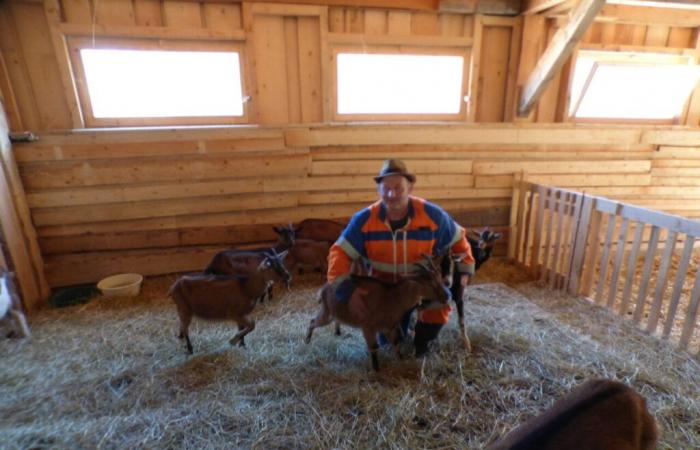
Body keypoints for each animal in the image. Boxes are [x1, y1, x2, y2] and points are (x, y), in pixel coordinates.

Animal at [306, 256, 448, 372]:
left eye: (439, 278)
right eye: (430, 283)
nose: (446, 296)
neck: (391, 298)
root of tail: (324, 288)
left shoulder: (390, 327)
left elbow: (396, 342)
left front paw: (401, 359)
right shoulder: (368, 327)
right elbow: (374, 347)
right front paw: (377, 370)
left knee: (334, 320)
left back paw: (337, 332)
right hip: (326, 312)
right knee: (312, 322)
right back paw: (307, 341)